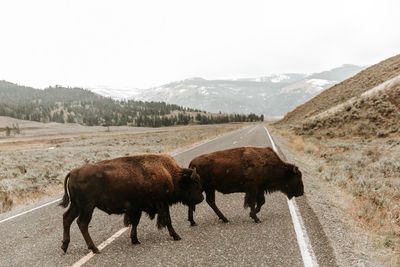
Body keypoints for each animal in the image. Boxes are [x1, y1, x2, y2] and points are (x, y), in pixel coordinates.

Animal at [59, 154, 203, 254]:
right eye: (194, 182)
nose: (201, 198)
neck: (170, 174)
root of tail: (72, 172)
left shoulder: (137, 207)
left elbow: (135, 223)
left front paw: (135, 240)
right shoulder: (162, 203)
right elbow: (167, 220)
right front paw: (176, 236)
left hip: (77, 206)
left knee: (67, 218)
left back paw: (65, 246)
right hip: (87, 207)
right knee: (82, 223)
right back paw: (95, 249)